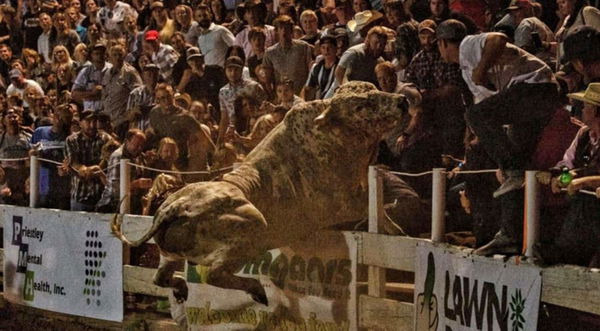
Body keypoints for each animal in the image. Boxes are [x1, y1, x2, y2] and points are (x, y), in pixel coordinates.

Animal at [111, 82, 412, 306]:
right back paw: (257, 290)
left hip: (170, 254)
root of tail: (174, 208)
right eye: (361, 105)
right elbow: (371, 206)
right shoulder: (342, 200)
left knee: (161, 278)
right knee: (215, 274)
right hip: (250, 230)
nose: (402, 101)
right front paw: (397, 228)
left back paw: (183, 289)